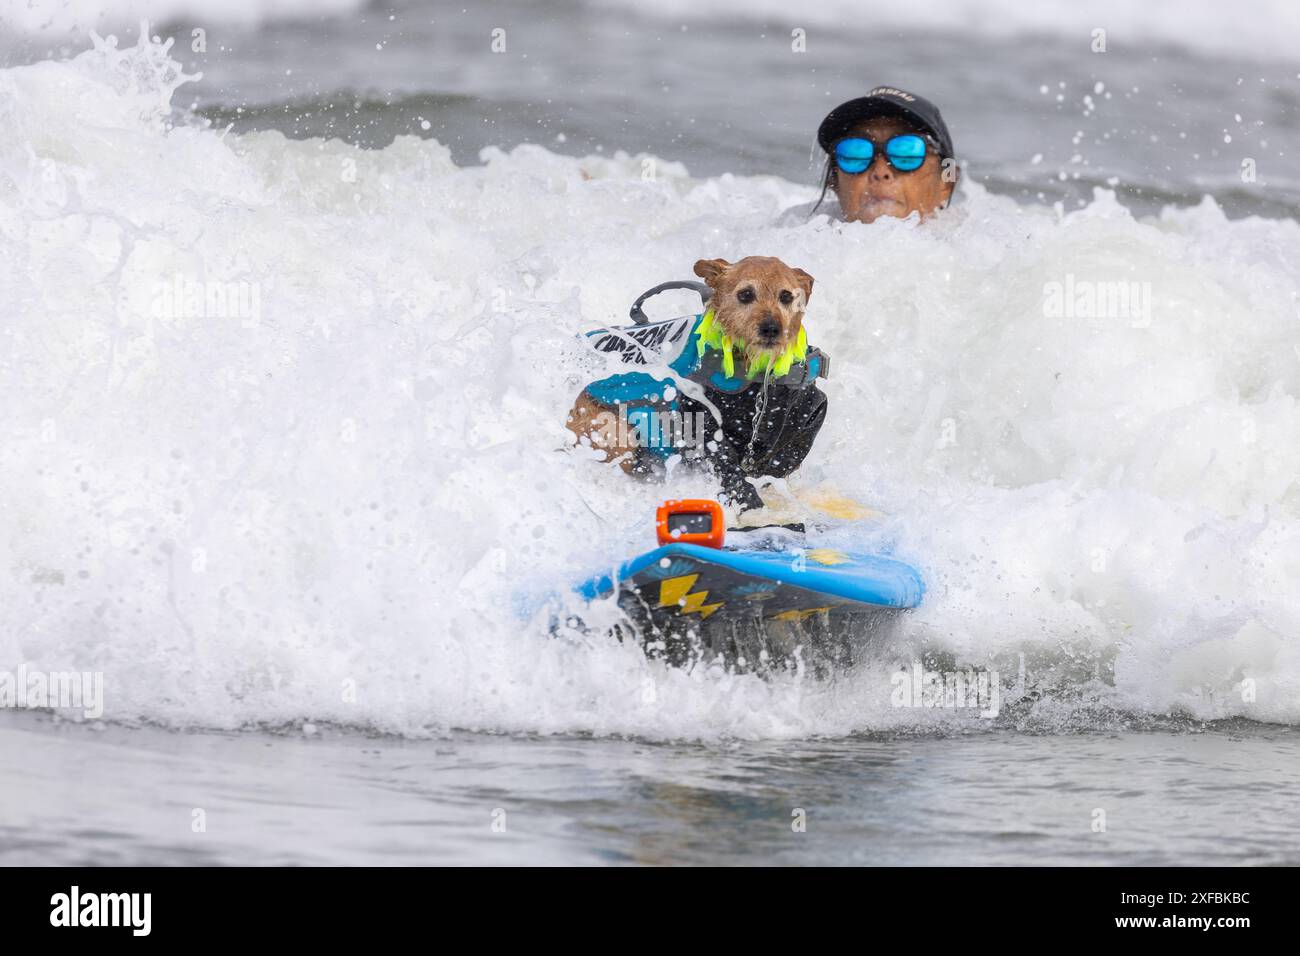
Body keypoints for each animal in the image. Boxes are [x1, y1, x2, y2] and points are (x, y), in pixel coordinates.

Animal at [564, 254, 826, 509]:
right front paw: (748, 500)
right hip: (612, 428)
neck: (756, 377)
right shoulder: (699, 418)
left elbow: (787, 455)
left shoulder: (808, 411)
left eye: (786, 296)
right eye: (746, 294)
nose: (771, 329)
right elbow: (724, 459)